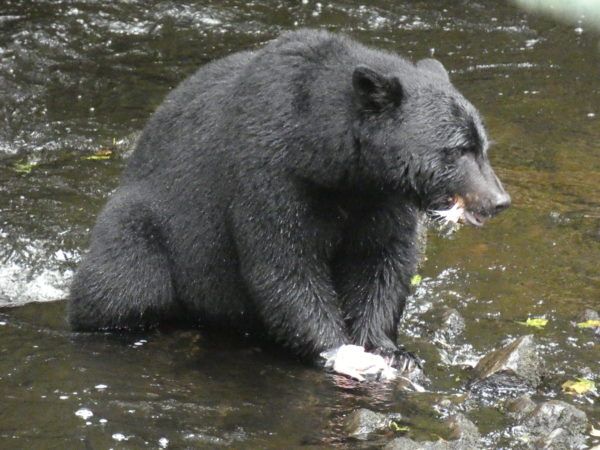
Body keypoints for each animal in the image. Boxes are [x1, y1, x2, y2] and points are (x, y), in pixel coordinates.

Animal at [70, 28, 510, 368]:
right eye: (457, 149)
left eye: (482, 146)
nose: (499, 201)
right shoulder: (271, 174)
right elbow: (284, 262)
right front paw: (340, 352)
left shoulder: (382, 197)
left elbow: (381, 259)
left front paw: (391, 351)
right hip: (139, 225)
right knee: (121, 283)